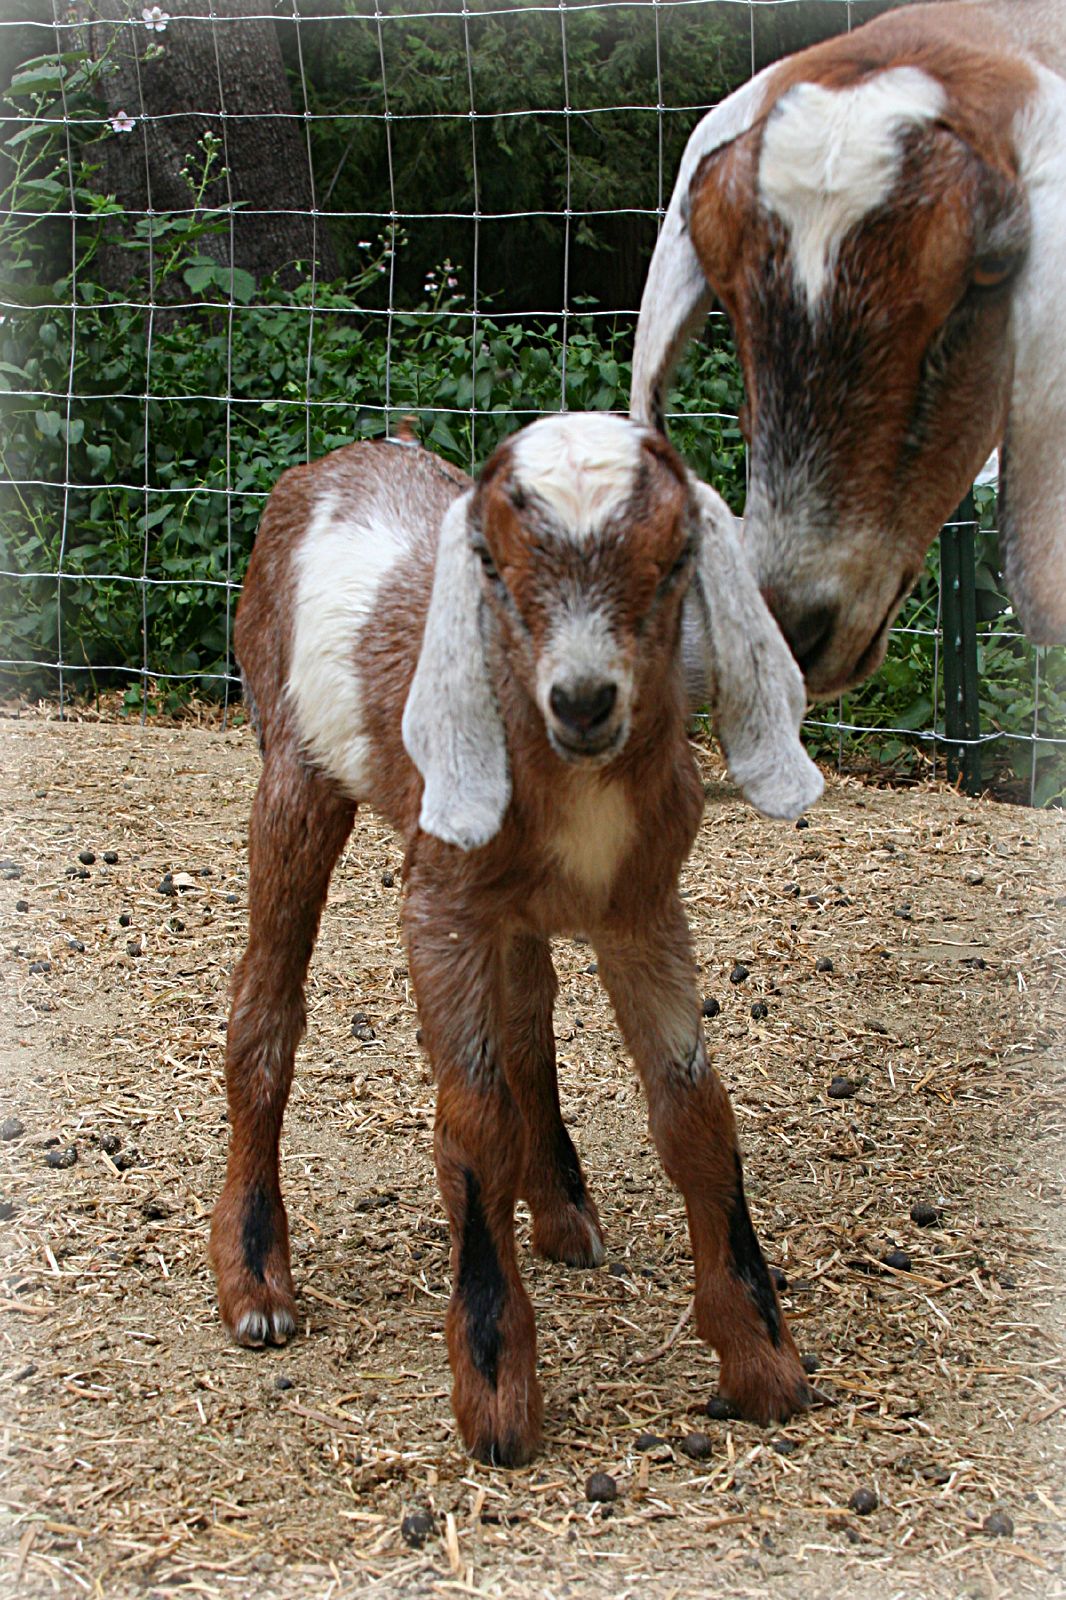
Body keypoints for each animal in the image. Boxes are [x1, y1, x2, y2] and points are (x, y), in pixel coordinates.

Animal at [209, 412, 819, 1465]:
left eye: (676, 560)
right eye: (491, 562)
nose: (582, 701)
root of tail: (359, 449)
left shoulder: (643, 907)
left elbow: (696, 1113)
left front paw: (762, 1358)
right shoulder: (440, 904)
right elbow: (473, 1122)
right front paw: (494, 1388)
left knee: (530, 1016)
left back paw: (563, 1210)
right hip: (293, 765)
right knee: (268, 1004)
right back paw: (255, 1283)